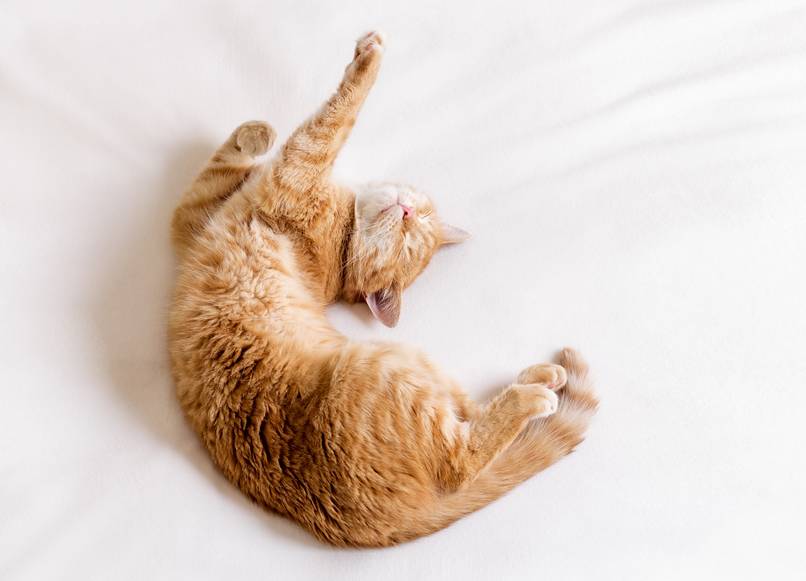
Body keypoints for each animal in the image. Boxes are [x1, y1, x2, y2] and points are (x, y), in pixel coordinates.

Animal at [170, 31, 600, 548]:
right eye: (415, 230)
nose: (408, 212)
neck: (340, 244)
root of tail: (391, 523)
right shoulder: (193, 219)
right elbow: (220, 166)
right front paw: (254, 133)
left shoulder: (294, 172)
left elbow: (332, 119)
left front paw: (368, 60)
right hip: (416, 367)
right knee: (467, 414)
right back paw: (542, 378)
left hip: (387, 367)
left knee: (462, 460)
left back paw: (532, 397)